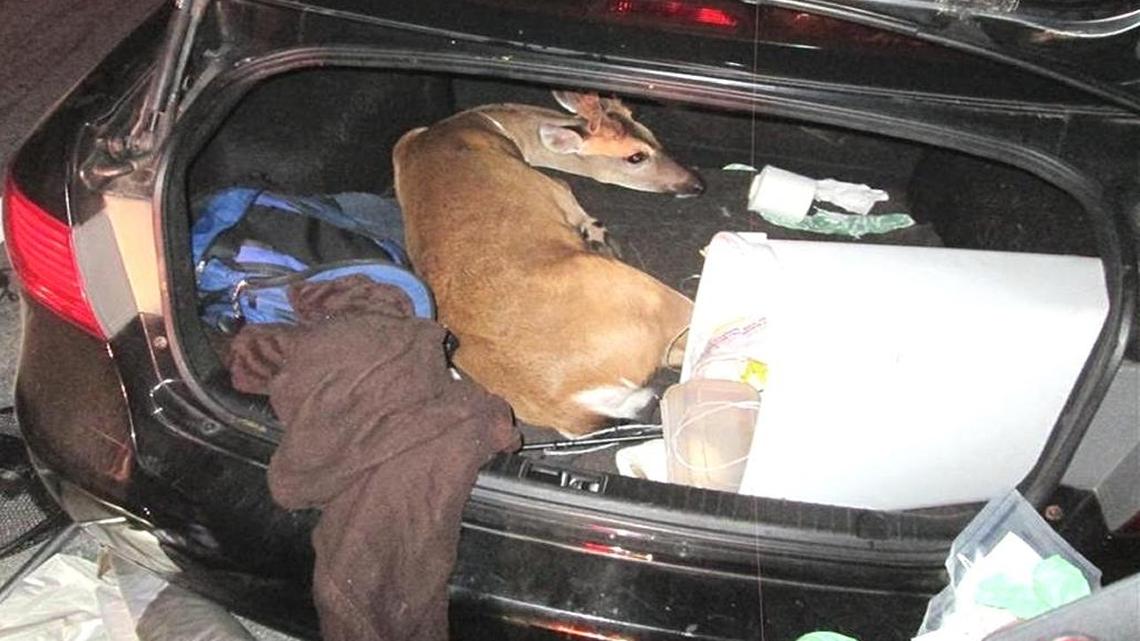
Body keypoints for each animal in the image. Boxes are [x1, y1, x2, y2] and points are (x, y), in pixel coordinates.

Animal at [393, 90, 703, 437]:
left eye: (652, 135)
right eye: (635, 157)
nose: (697, 183)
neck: (482, 124)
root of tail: (572, 407)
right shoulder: (555, 188)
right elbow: (568, 190)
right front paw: (596, 232)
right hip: (640, 291)